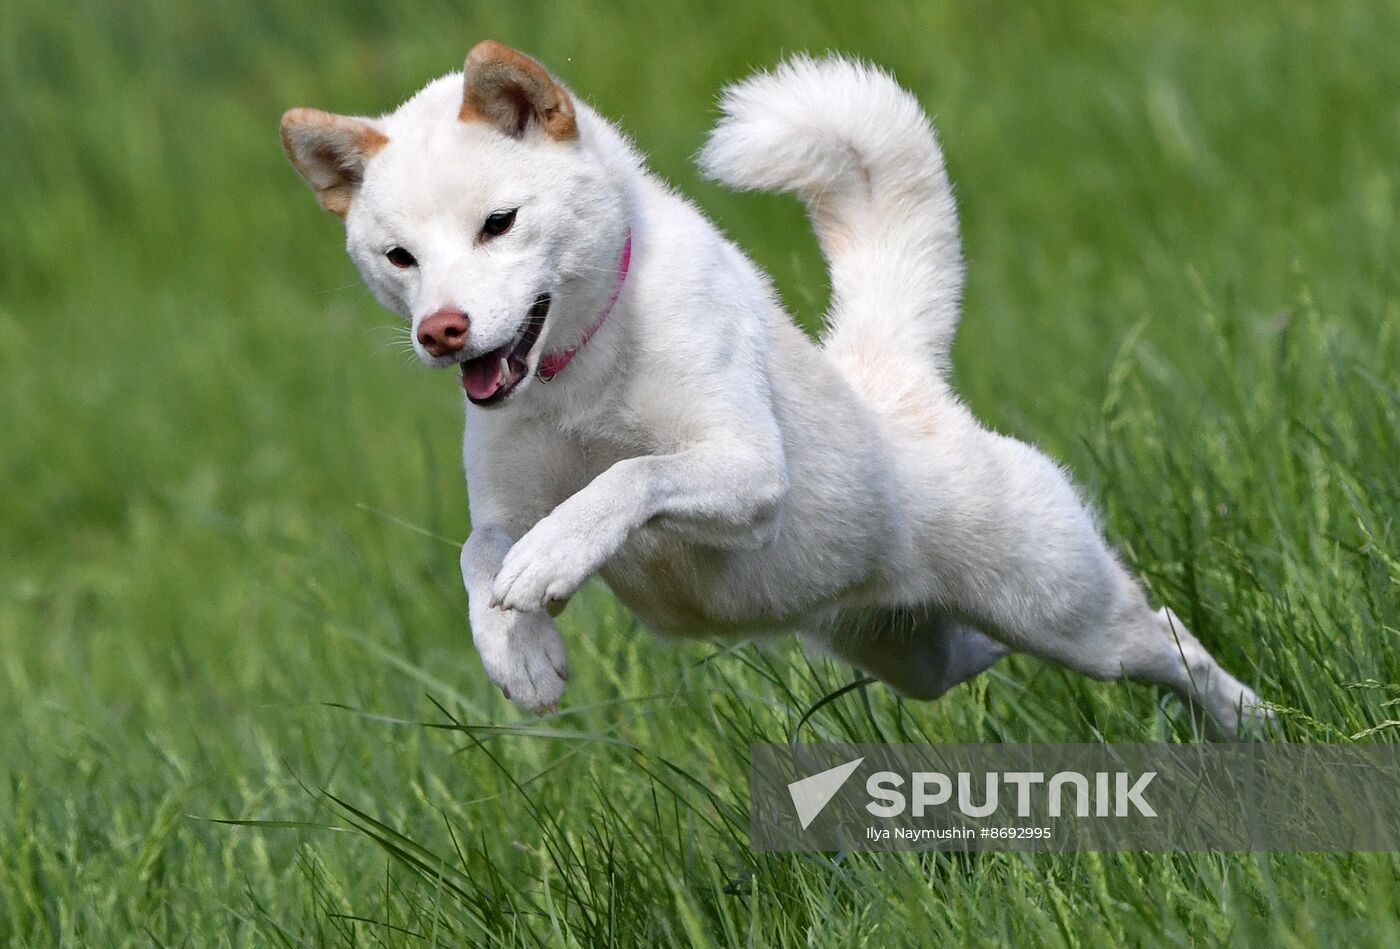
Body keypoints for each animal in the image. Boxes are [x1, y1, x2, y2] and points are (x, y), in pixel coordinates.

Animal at [281, 40, 1271, 733]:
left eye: (499, 222)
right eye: (399, 256)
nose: (441, 331)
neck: (580, 377)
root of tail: (897, 382)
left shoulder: (748, 469)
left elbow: (628, 478)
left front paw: (557, 557)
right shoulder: (501, 507)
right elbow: (477, 557)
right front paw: (522, 656)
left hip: (1071, 615)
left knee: (1169, 640)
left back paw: (1257, 724)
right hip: (913, 654)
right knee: (973, 651)